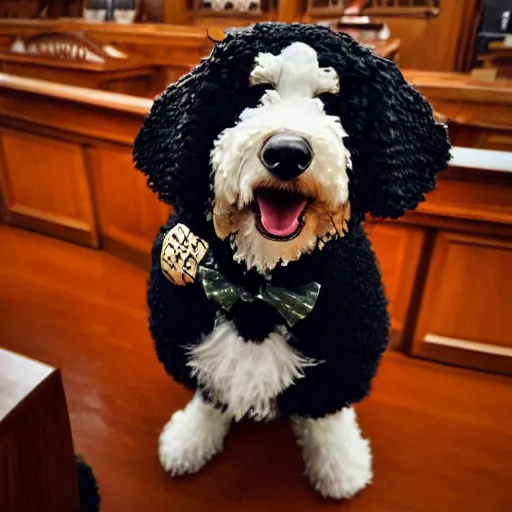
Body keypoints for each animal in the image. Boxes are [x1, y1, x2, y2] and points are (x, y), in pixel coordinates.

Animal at [134, 22, 450, 498]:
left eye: (331, 103)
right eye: (254, 95)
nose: (287, 152)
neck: (260, 292)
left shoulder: (342, 357)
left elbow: (326, 418)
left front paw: (339, 467)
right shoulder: (187, 330)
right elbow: (210, 397)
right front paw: (190, 440)